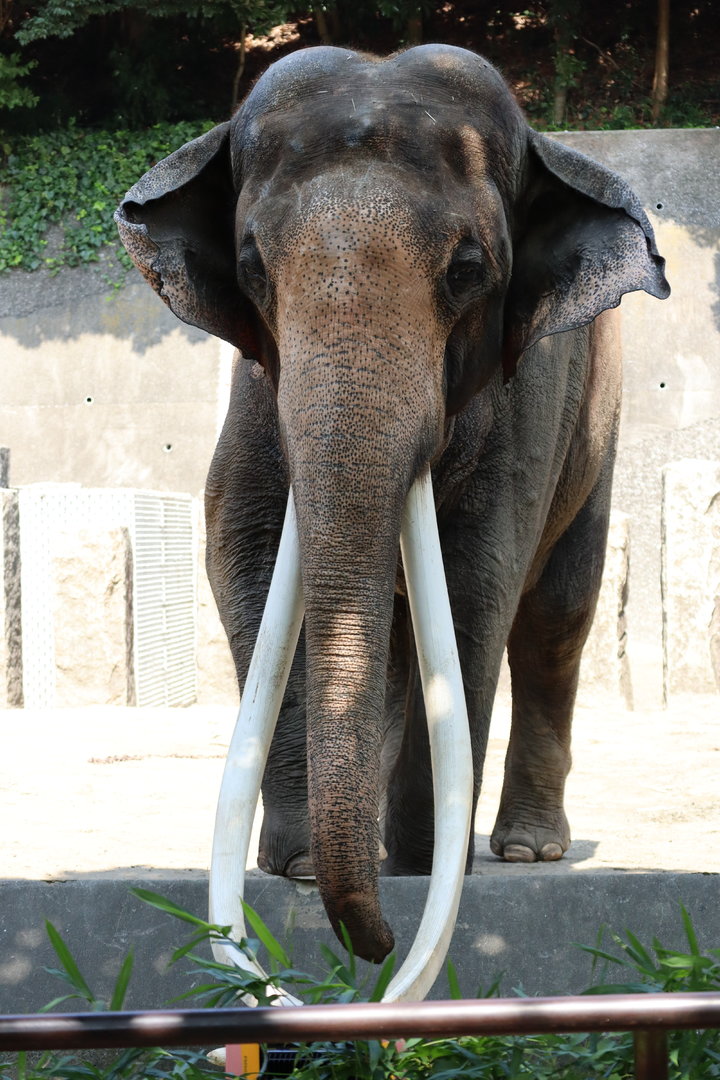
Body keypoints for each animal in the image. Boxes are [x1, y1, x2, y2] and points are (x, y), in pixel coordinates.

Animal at [116, 44, 669, 972]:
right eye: (254, 269)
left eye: (468, 272)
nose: (374, 946)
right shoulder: (255, 391)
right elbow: (242, 545)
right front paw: (306, 866)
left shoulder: (527, 395)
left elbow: (480, 577)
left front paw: (419, 863)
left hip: (603, 415)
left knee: (556, 613)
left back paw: (527, 849)